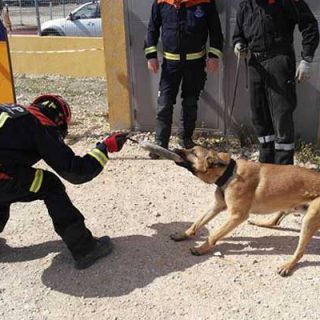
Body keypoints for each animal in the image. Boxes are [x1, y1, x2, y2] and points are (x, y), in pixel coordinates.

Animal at [170, 146, 320, 276]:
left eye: (194, 153)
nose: (174, 149)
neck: (229, 172)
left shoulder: (236, 216)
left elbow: (213, 236)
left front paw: (201, 249)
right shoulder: (216, 206)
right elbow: (197, 223)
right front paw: (183, 235)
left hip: (309, 219)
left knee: (300, 251)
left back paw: (288, 265)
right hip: (290, 206)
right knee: (275, 221)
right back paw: (259, 222)